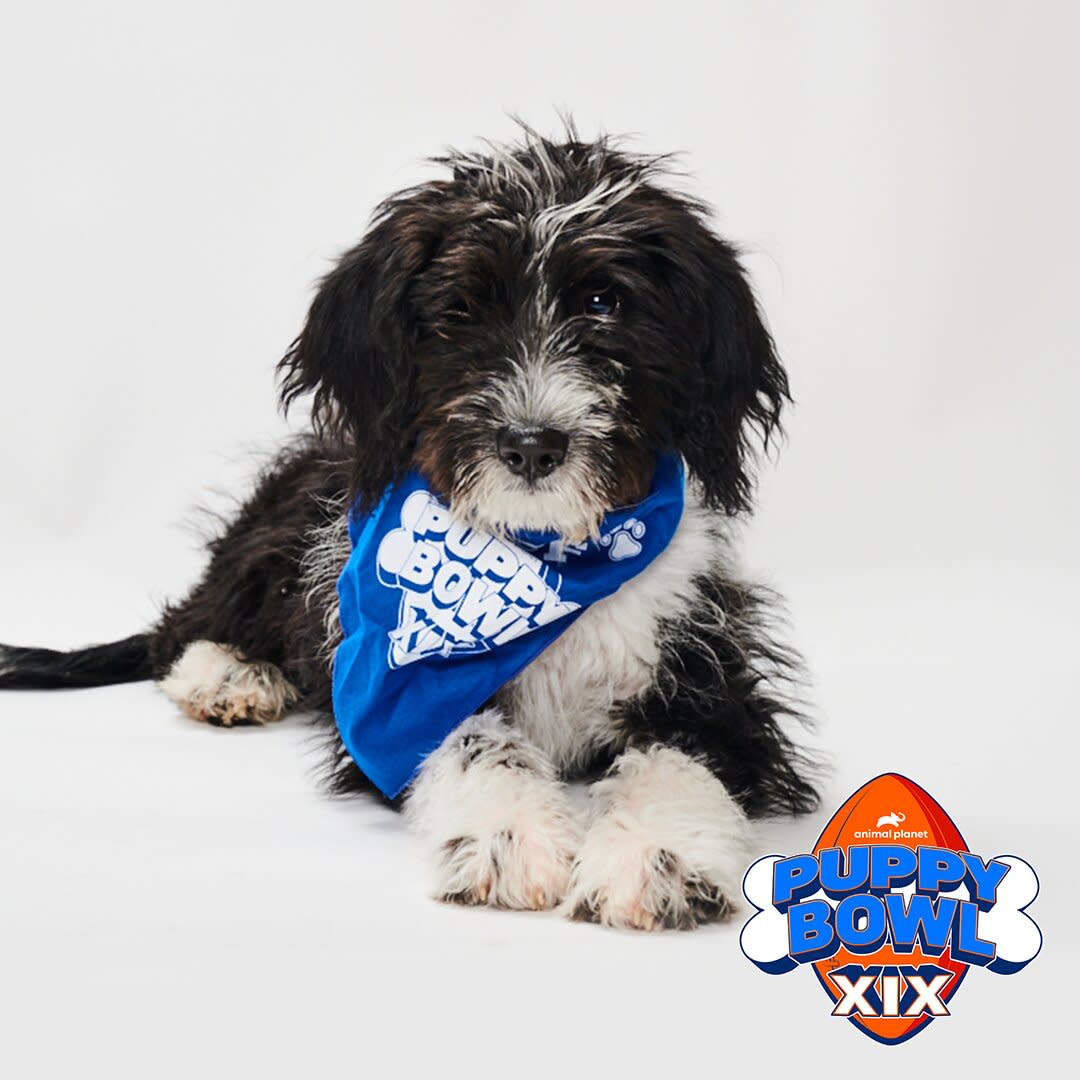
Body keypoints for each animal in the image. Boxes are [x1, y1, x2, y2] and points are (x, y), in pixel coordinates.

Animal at [0, 128, 812, 928]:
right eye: (459, 310)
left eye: (604, 300)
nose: (531, 446)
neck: (543, 552)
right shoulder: (395, 693)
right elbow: (470, 740)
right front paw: (510, 834)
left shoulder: (715, 679)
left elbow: (682, 759)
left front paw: (655, 857)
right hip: (283, 528)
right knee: (186, 623)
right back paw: (227, 675)